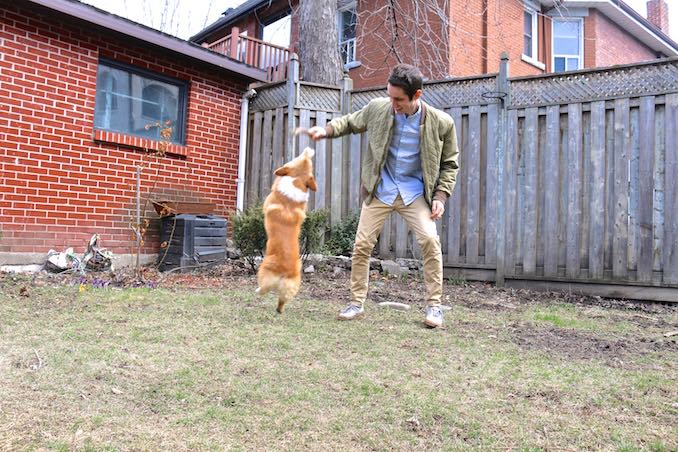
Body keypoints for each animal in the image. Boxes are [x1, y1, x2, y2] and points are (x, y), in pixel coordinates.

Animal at [258, 147, 318, 312]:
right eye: (306, 161)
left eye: (297, 157)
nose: (309, 149)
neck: (296, 180)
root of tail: (285, 272)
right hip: (291, 287)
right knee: (282, 300)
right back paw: (279, 310)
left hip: (264, 273)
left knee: (264, 289)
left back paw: (258, 291)